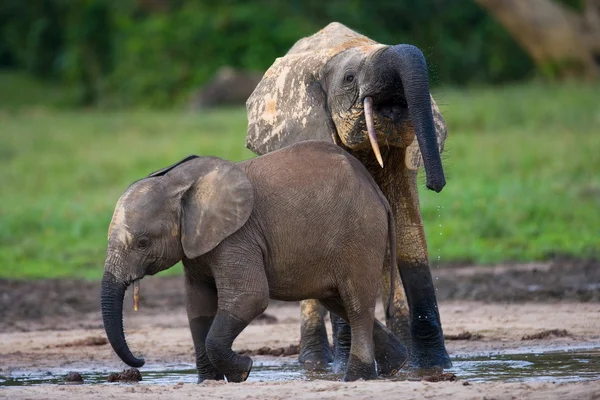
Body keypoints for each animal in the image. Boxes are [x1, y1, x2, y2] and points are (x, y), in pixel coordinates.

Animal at [102, 140, 408, 382]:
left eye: (142, 243)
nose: (141, 360)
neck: (177, 181)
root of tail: (377, 192)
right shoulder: (196, 245)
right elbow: (198, 308)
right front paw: (208, 382)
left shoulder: (237, 237)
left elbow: (249, 297)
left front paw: (244, 370)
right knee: (338, 301)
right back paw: (396, 366)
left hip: (361, 234)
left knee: (356, 304)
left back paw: (358, 377)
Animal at [245, 22, 450, 372]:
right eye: (349, 78)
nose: (436, 186)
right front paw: (345, 366)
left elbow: (410, 236)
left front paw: (434, 367)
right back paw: (317, 363)